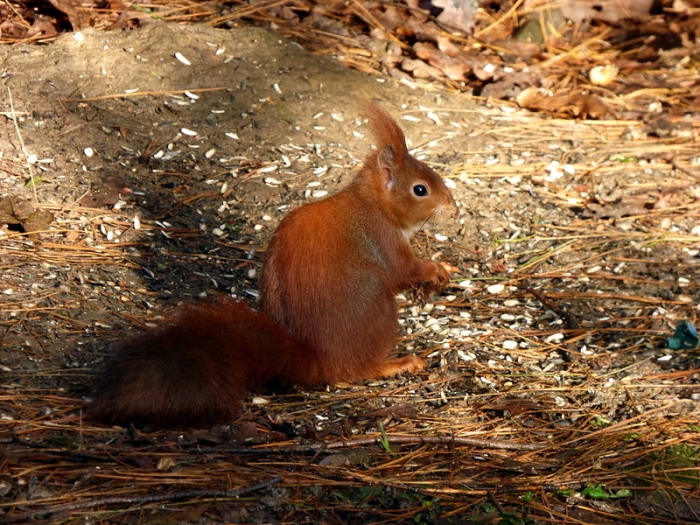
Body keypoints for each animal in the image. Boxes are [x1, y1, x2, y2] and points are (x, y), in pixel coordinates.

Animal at [86, 103, 457, 427]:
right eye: (420, 190)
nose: (453, 209)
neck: (374, 203)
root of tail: (314, 358)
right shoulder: (383, 239)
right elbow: (403, 272)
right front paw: (435, 270)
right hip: (376, 305)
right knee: (357, 369)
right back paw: (396, 364)